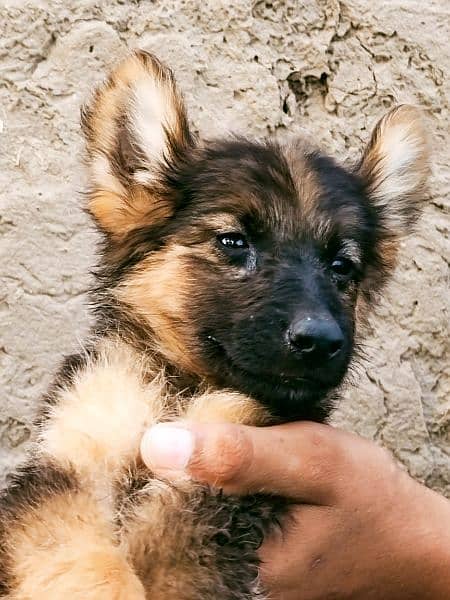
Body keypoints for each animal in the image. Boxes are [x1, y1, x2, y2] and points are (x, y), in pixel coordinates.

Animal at [0, 52, 428, 600]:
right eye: (232, 241)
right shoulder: (64, 468)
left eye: (342, 267)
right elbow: (83, 555)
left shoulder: (219, 489)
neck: (182, 388)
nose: (320, 341)